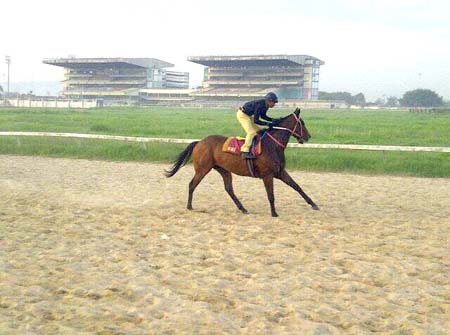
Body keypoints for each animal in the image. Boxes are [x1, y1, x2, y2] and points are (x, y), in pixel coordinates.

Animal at [165, 108, 320, 218]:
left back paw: (243, 208)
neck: (272, 146)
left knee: (229, 189)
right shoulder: (268, 175)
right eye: (302, 123)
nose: (308, 137)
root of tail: (199, 142)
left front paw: (314, 205)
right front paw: (274, 213)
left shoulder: (280, 172)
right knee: (192, 184)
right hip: (203, 169)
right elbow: (271, 195)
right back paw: (190, 206)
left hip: (224, 170)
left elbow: (297, 187)